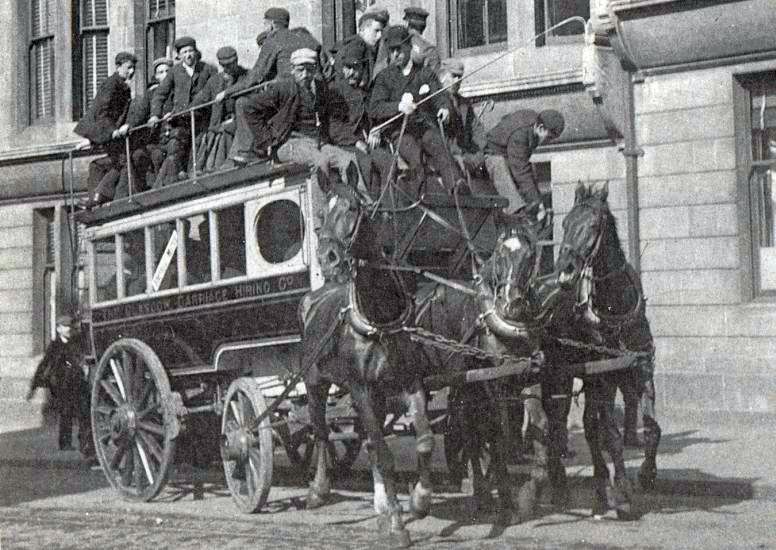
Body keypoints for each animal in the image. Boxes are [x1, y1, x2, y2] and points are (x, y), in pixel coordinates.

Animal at [552, 183, 660, 520]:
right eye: (564, 224)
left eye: (593, 226)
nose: (565, 271)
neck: (616, 306)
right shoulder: (605, 376)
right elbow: (611, 436)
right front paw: (623, 493)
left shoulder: (641, 368)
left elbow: (651, 427)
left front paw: (647, 474)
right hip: (565, 378)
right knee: (565, 425)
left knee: (589, 425)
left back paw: (600, 489)